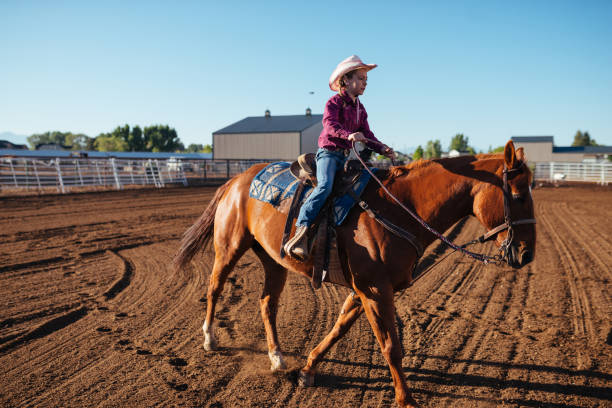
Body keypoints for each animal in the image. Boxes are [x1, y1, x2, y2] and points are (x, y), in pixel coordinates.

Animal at [173, 139, 536, 404]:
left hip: (273, 260)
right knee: (214, 287)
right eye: (518, 195)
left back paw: (277, 357)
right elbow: (391, 346)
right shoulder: (374, 289)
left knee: (267, 303)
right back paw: (209, 339)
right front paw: (406, 400)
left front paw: (307, 369)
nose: (527, 253)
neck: (400, 207)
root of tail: (236, 180)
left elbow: (339, 327)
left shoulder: (365, 289)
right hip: (229, 246)